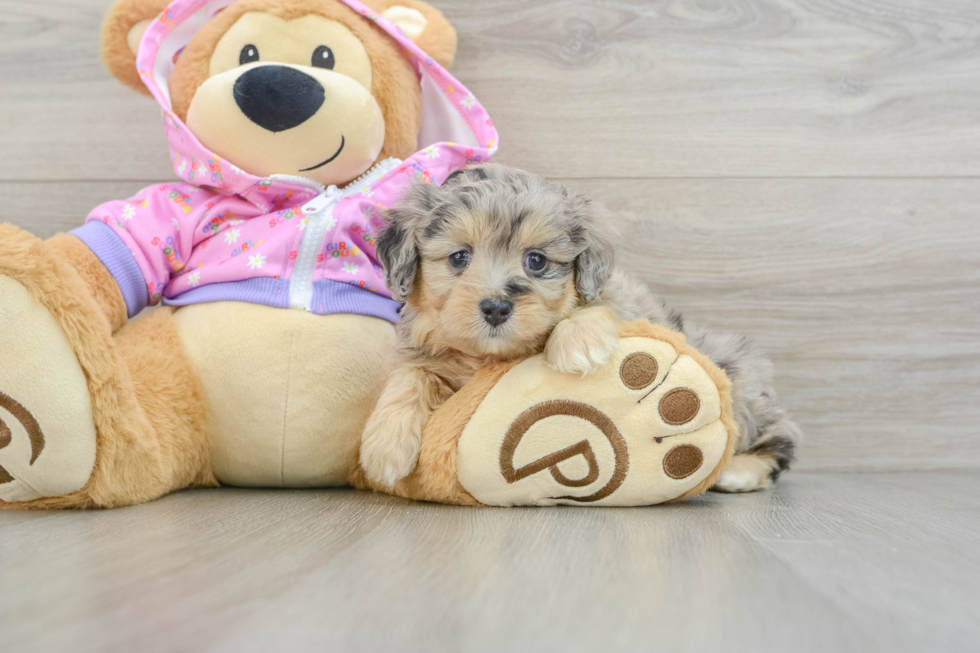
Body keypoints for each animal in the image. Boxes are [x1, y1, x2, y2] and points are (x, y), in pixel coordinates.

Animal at [356, 163, 800, 488]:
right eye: (459, 257)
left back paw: (737, 472)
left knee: (781, 435)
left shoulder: (626, 302)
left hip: (739, 376)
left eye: (536, 261)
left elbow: (600, 305)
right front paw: (385, 447)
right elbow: (410, 376)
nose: (496, 307)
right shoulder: (426, 354)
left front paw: (576, 343)